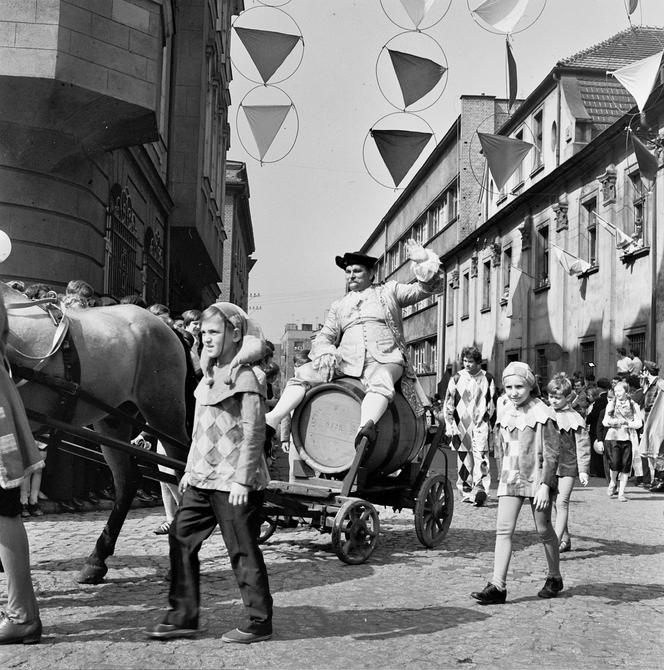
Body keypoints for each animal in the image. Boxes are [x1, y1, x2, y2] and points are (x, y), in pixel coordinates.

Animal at [0, 286, 192, 584]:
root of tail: (166, 326)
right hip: (114, 419)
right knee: (128, 479)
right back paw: (96, 559)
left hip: (164, 412)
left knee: (182, 469)